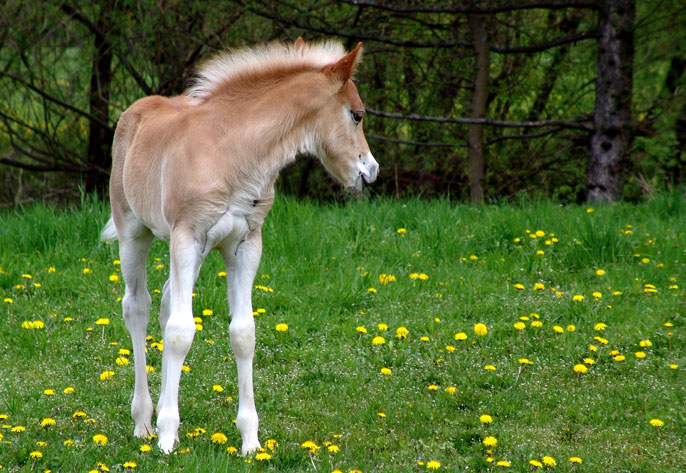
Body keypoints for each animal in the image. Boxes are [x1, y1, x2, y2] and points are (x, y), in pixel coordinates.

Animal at [103, 40, 376, 454]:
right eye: (357, 115)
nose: (370, 172)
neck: (232, 153)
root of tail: (134, 111)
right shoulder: (186, 237)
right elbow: (181, 332)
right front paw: (166, 437)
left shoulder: (245, 245)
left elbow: (242, 333)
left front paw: (250, 439)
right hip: (134, 232)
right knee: (138, 307)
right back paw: (145, 421)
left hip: (197, 253)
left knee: (165, 304)